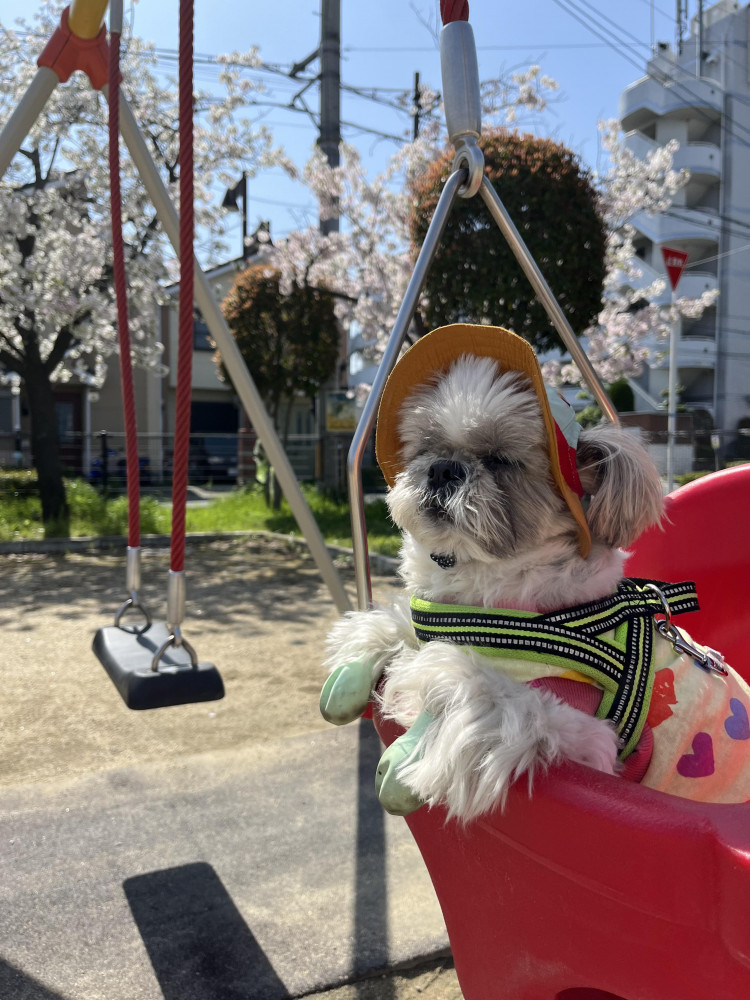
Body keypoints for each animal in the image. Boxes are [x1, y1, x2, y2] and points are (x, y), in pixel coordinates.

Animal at [322, 324, 750, 824]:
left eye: (499, 460)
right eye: (425, 449)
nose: (444, 468)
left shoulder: (585, 732)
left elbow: (482, 689)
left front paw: (423, 720)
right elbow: (404, 625)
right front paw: (365, 651)